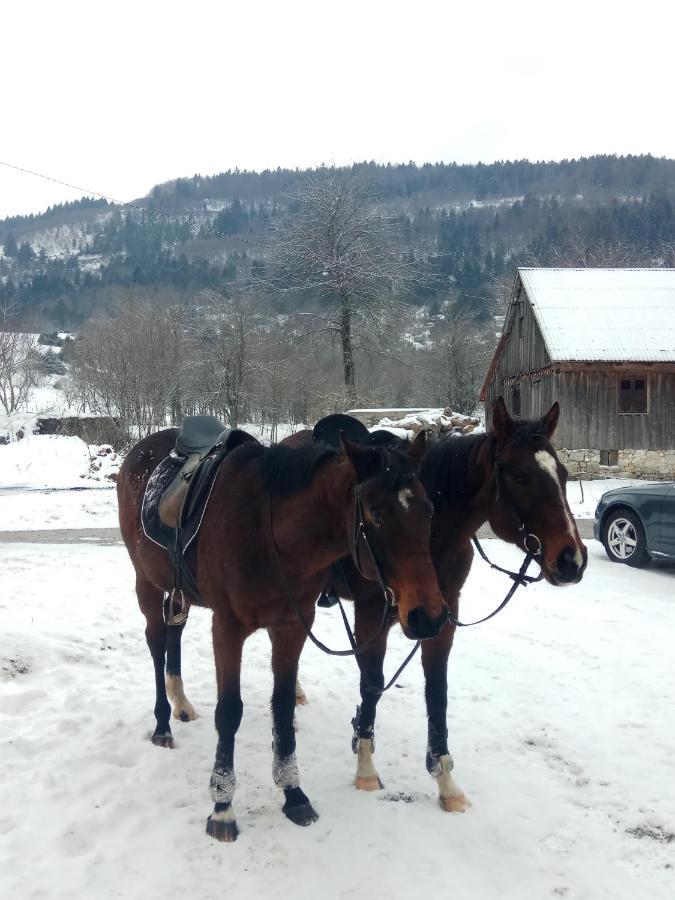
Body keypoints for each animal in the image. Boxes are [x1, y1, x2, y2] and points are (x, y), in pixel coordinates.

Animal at [118, 426, 446, 840]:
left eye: (429, 511)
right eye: (375, 513)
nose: (428, 617)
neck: (269, 534)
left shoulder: (292, 627)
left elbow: (284, 704)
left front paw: (293, 794)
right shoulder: (227, 628)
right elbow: (229, 711)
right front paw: (222, 807)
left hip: (179, 590)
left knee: (173, 630)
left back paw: (181, 704)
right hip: (145, 580)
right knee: (157, 640)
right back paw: (162, 722)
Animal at [296, 398, 588, 812]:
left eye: (562, 473)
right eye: (520, 476)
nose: (571, 560)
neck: (432, 537)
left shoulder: (442, 617)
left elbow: (437, 690)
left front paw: (446, 782)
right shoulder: (371, 616)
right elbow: (372, 683)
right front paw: (365, 765)